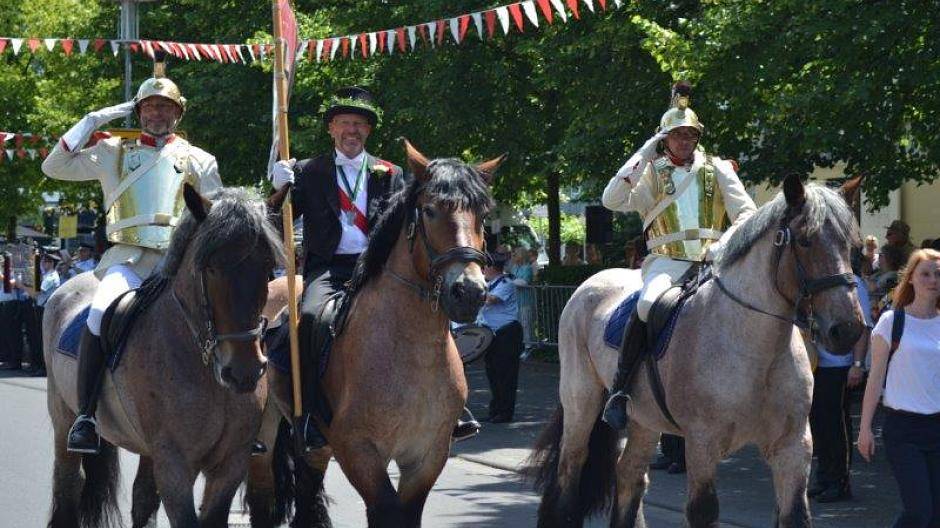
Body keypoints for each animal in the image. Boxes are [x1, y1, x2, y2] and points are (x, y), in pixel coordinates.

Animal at [44, 184, 283, 527]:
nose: (244, 371)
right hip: (63, 418)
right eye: (210, 268)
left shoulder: (231, 463)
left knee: (142, 497)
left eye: (267, 269)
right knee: (68, 486)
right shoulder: (175, 465)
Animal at [245, 140, 505, 528]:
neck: (411, 352)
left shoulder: (427, 456)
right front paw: (284, 174)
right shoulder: (359, 450)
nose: (469, 292)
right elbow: (386, 511)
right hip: (265, 431)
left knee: (307, 487)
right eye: (430, 210)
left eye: (483, 213)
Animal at [530, 175, 865, 528]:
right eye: (804, 241)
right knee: (571, 470)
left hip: (644, 419)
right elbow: (702, 510)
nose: (847, 329)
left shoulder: (793, 445)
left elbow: (796, 514)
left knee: (630, 474)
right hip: (582, 403)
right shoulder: (702, 444)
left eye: (851, 246)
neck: (756, 350)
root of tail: (589, 283)